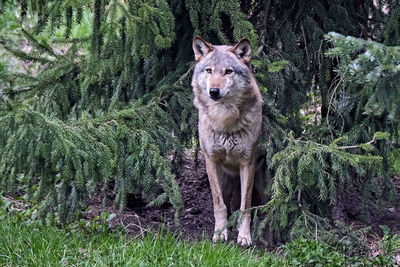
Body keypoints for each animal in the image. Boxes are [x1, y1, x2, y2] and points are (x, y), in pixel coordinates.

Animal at [192, 36, 268, 247]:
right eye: (209, 70)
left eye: (228, 71)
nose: (214, 91)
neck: (223, 119)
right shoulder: (211, 160)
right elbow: (219, 205)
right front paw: (220, 234)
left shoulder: (247, 163)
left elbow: (245, 206)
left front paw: (244, 236)